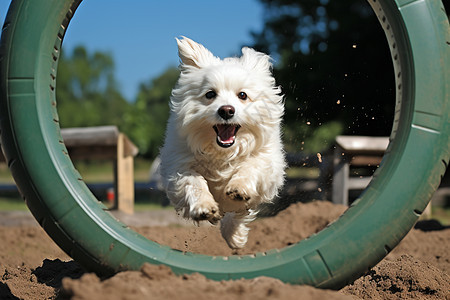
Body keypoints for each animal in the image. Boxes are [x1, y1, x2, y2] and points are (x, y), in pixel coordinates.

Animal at [160, 37, 286, 248]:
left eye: (242, 95)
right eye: (210, 94)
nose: (226, 110)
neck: (223, 152)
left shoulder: (268, 164)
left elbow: (251, 168)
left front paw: (238, 190)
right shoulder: (179, 165)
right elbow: (194, 182)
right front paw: (204, 207)